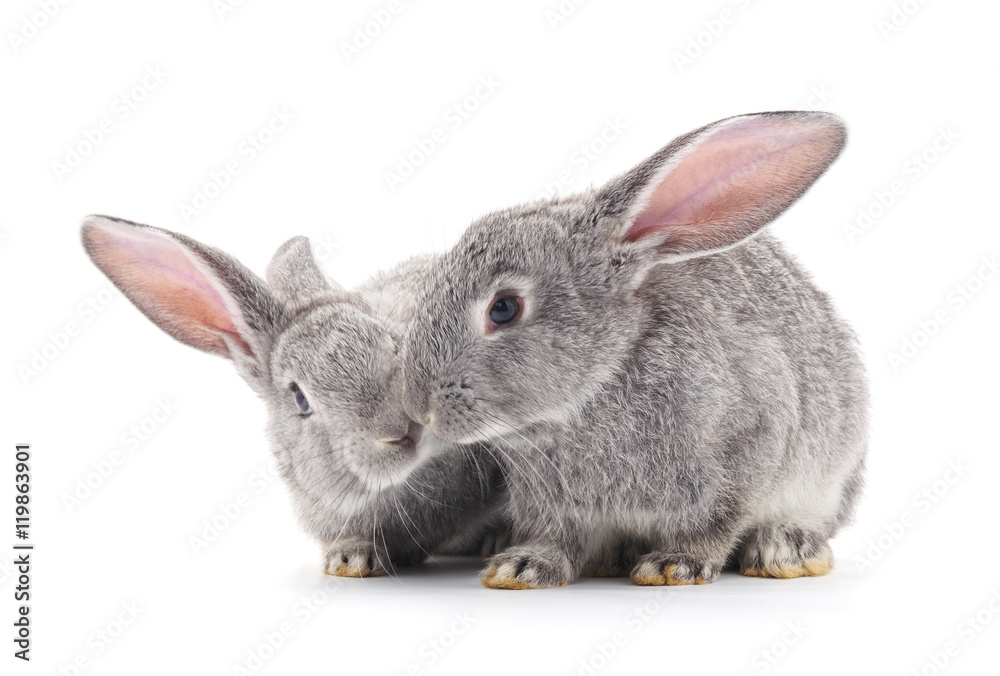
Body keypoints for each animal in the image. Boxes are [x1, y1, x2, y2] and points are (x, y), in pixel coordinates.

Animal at [399, 111, 869, 589]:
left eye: (504, 308)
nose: (419, 407)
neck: (606, 373)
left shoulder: (751, 440)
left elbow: (716, 523)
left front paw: (675, 565)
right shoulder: (552, 504)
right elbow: (555, 537)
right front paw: (523, 566)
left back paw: (785, 549)